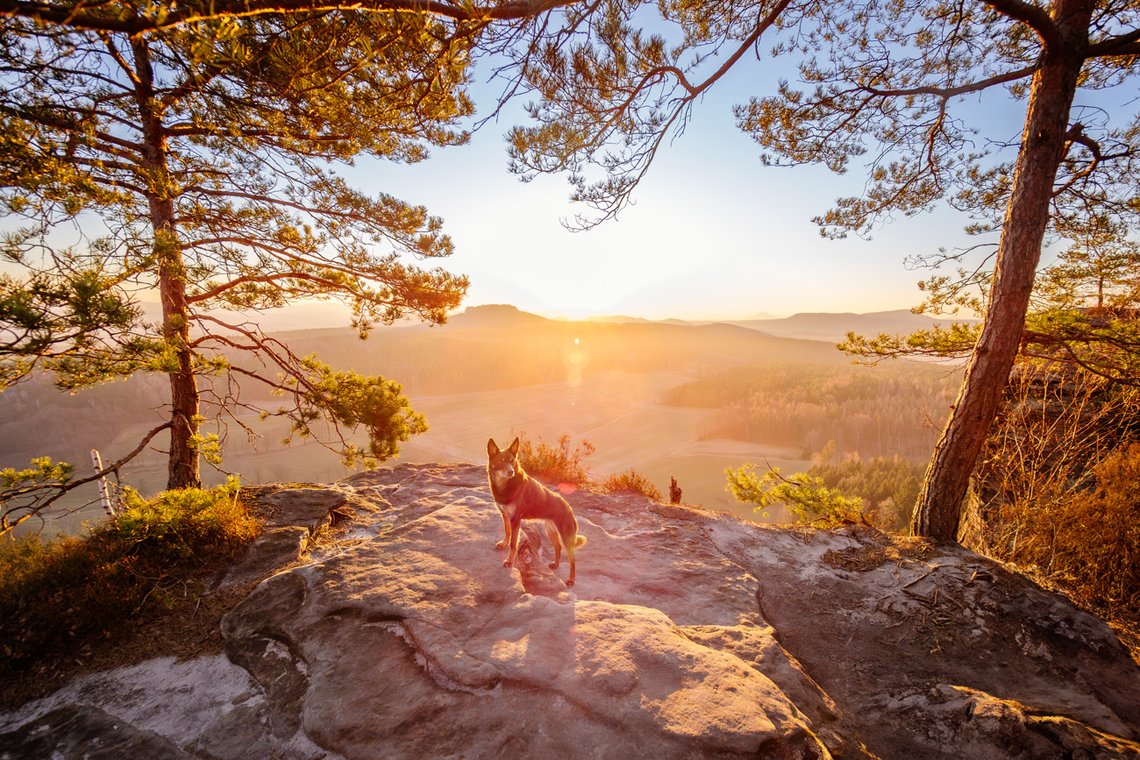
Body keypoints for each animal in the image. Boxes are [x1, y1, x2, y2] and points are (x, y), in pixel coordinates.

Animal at [485, 432, 588, 587]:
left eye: (511, 460)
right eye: (502, 460)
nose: (511, 471)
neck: (505, 485)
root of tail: (569, 508)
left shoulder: (515, 520)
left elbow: (514, 544)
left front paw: (509, 561)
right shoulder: (505, 516)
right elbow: (507, 532)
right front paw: (504, 543)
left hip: (565, 536)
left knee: (572, 559)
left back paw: (571, 579)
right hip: (550, 531)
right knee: (558, 548)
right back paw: (555, 564)